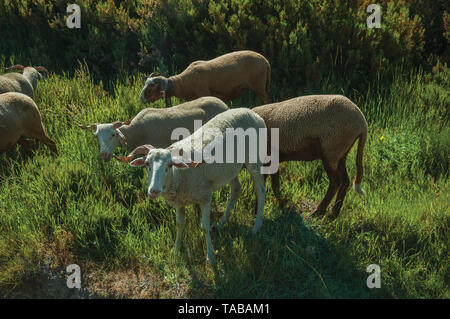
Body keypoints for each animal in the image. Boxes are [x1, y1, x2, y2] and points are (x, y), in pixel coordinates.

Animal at [114, 109, 268, 266]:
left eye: (169, 165)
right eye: (146, 164)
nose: (154, 191)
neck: (178, 176)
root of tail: (251, 112)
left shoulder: (205, 196)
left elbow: (204, 227)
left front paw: (210, 256)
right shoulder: (179, 202)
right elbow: (179, 224)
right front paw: (175, 249)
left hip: (254, 159)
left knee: (261, 191)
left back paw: (256, 226)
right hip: (230, 169)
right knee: (236, 189)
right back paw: (222, 223)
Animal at [139, 50, 270, 108]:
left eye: (152, 87)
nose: (141, 99)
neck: (184, 83)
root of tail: (265, 61)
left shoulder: (204, 93)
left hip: (259, 87)